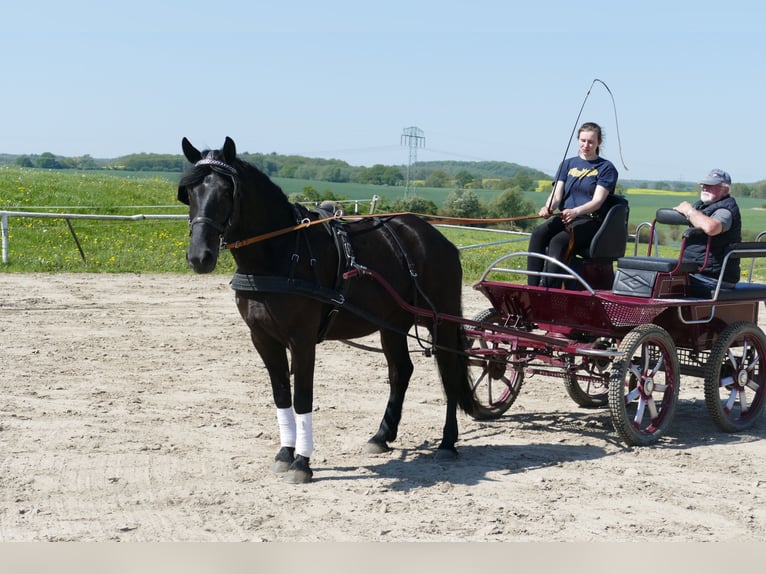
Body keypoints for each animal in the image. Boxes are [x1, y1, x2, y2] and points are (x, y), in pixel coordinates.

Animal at [178, 137, 474, 484]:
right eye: (189, 192)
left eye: (227, 191)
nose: (200, 256)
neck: (280, 253)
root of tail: (436, 237)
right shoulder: (263, 338)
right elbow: (281, 394)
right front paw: (284, 454)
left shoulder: (302, 339)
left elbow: (302, 397)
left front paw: (302, 463)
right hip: (392, 324)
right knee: (401, 371)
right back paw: (382, 436)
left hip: (442, 321)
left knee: (449, 373)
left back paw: (447, 442)